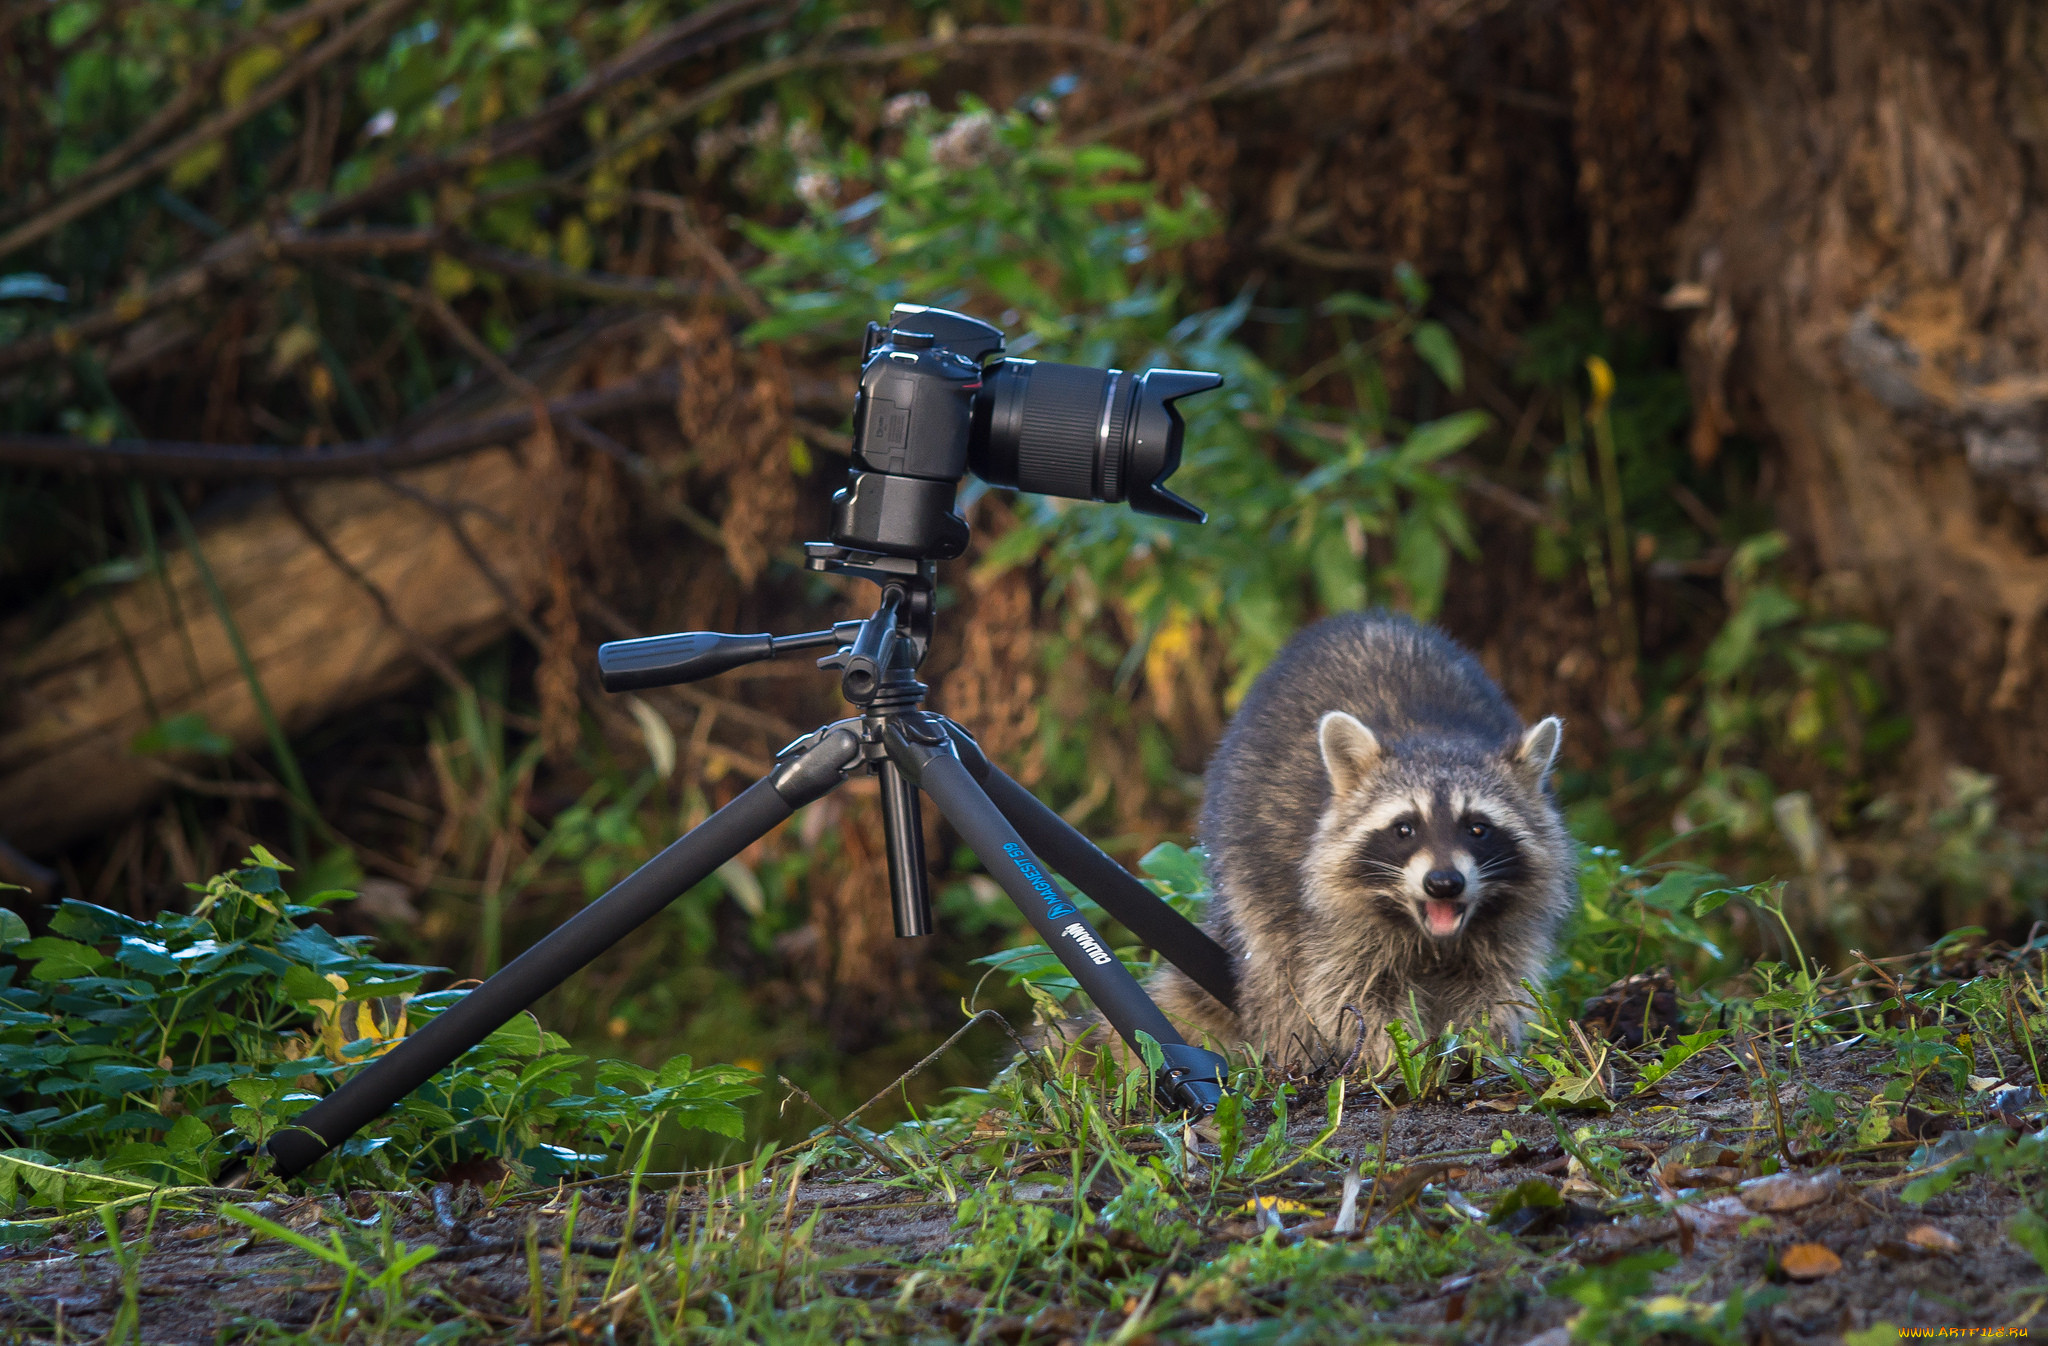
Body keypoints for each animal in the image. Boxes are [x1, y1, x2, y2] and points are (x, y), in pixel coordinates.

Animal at [1155, 610, 1564, 1073]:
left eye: (1478, 828)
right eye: (1405, 828)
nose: (1443, 883)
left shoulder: (1506, 928)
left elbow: (1495, 988)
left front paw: (1484, 1049)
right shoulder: (1329, 922)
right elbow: (1352, 992)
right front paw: (1391, 1058)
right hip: (1247, 857)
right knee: (1278, 973)